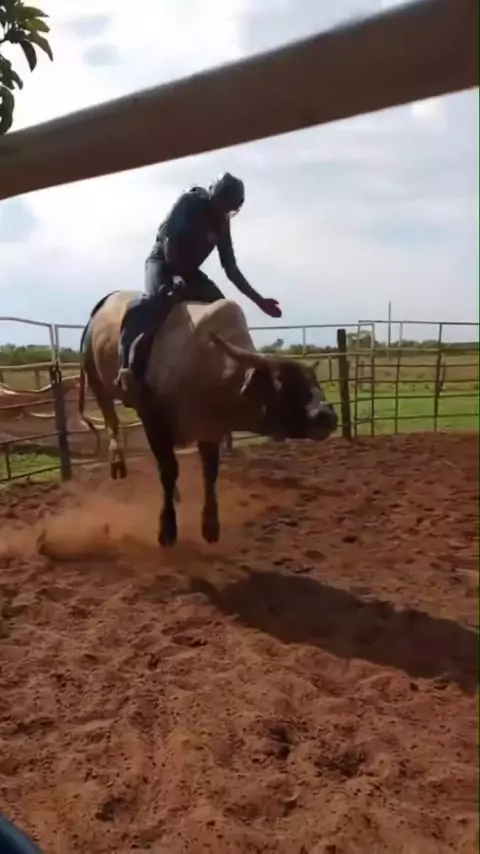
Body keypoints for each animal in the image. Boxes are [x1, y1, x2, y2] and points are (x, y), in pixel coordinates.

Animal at [78, 291, 338, 546]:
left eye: (315, 383)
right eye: (283, 384)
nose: (327, 416)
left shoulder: (210, 428)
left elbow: (209, 473)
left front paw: (210, 526)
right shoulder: (154, 419)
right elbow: (168, 470)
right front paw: (167, 528)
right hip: (97, 383)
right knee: (111, 421)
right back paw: (117, 461)